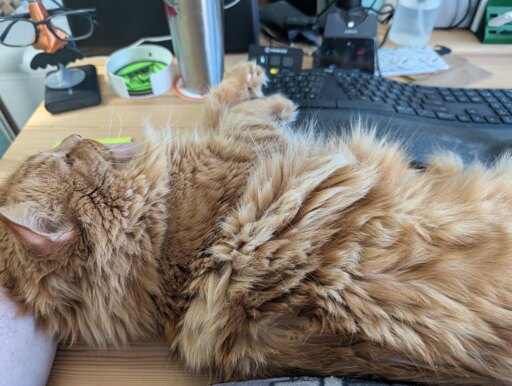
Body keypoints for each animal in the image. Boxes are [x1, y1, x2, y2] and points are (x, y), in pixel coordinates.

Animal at [1, 61, 512, 384]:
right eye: (69, 157)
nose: (75, 135)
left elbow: (215, 106)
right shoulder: (251, 144)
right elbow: (229, 106)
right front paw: (257, 81)